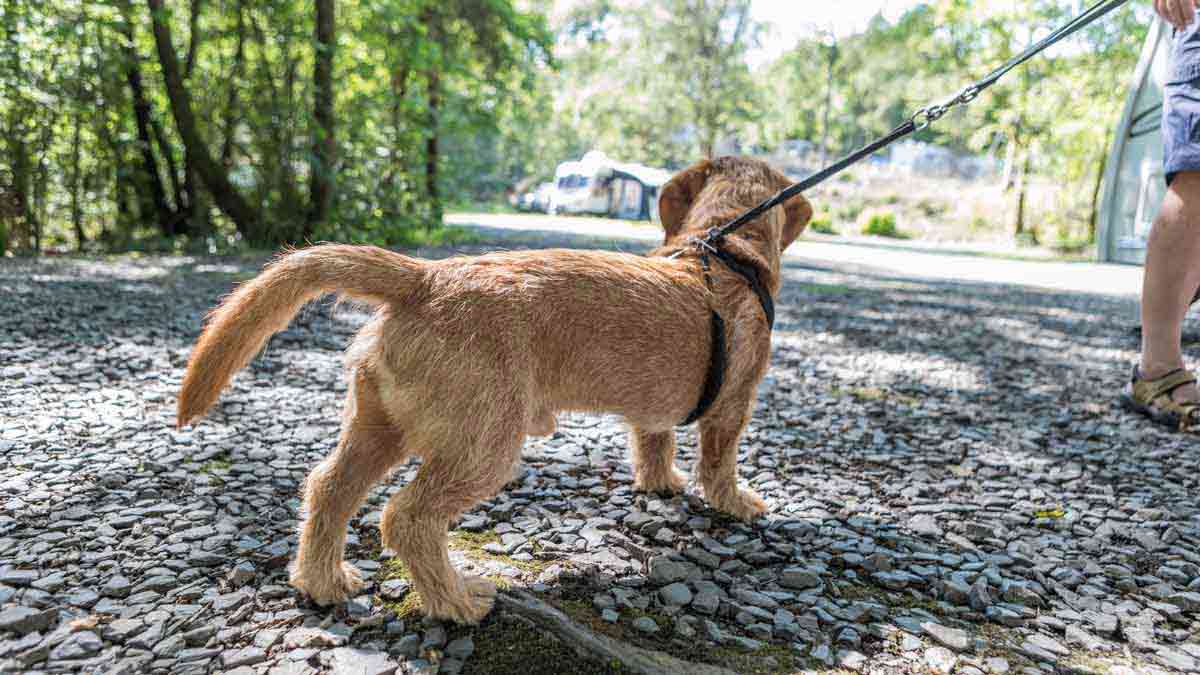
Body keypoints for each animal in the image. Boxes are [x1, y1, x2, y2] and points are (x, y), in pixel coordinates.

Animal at [176, 156, 812, 624]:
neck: (723, 253)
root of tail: (425, 276)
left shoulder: (652, 410)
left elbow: (653, 440)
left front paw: (660, 483)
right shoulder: (734, 405)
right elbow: (719, 460)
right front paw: (735, 502)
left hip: (380, 425)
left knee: (328, 487)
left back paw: (322, 581)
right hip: (484, 447)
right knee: (405, 517)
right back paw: (455, 602)